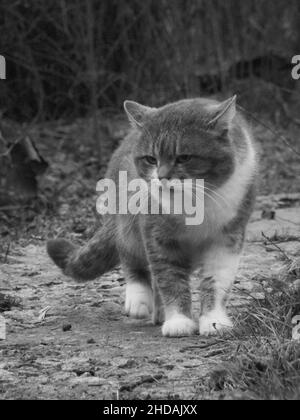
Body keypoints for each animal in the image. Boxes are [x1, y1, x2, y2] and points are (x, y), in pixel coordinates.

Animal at [47, 95, 258, 338]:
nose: (162, 177)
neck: (196, 202)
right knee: (131, 258)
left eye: (184, 158)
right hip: (127, 223)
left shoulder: (226, 238)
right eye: (151, 159)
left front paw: (214, 321)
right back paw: (141, 301)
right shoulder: (157, 236)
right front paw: (178, 321)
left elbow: (216, 280)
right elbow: (170, 279)